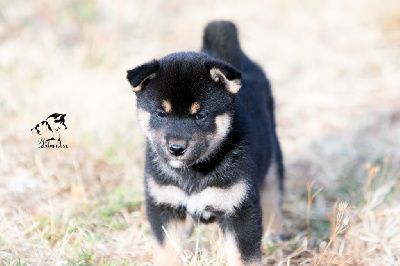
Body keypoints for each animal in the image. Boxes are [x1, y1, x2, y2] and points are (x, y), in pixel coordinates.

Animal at [126, 21, 282, 266]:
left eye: (200, 116)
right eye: (161, 113)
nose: (176, 148)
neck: (194, 173)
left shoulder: (240, 210)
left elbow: (243, 257)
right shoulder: (165, 206)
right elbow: (167, 253)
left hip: (273, 152)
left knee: (273, 193)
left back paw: (274, 233)